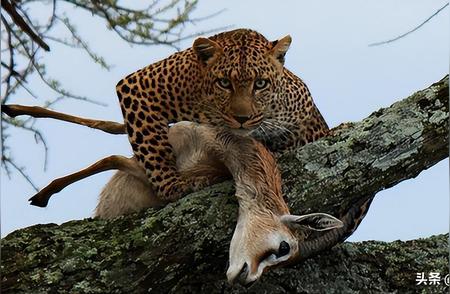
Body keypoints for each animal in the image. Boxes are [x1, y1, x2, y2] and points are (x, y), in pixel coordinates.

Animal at [114, 28, 328, 202]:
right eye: (224, 83)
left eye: (260, 84)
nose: (242, 119)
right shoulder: (138, 86)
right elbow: (153, 147)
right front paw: (172, 186)